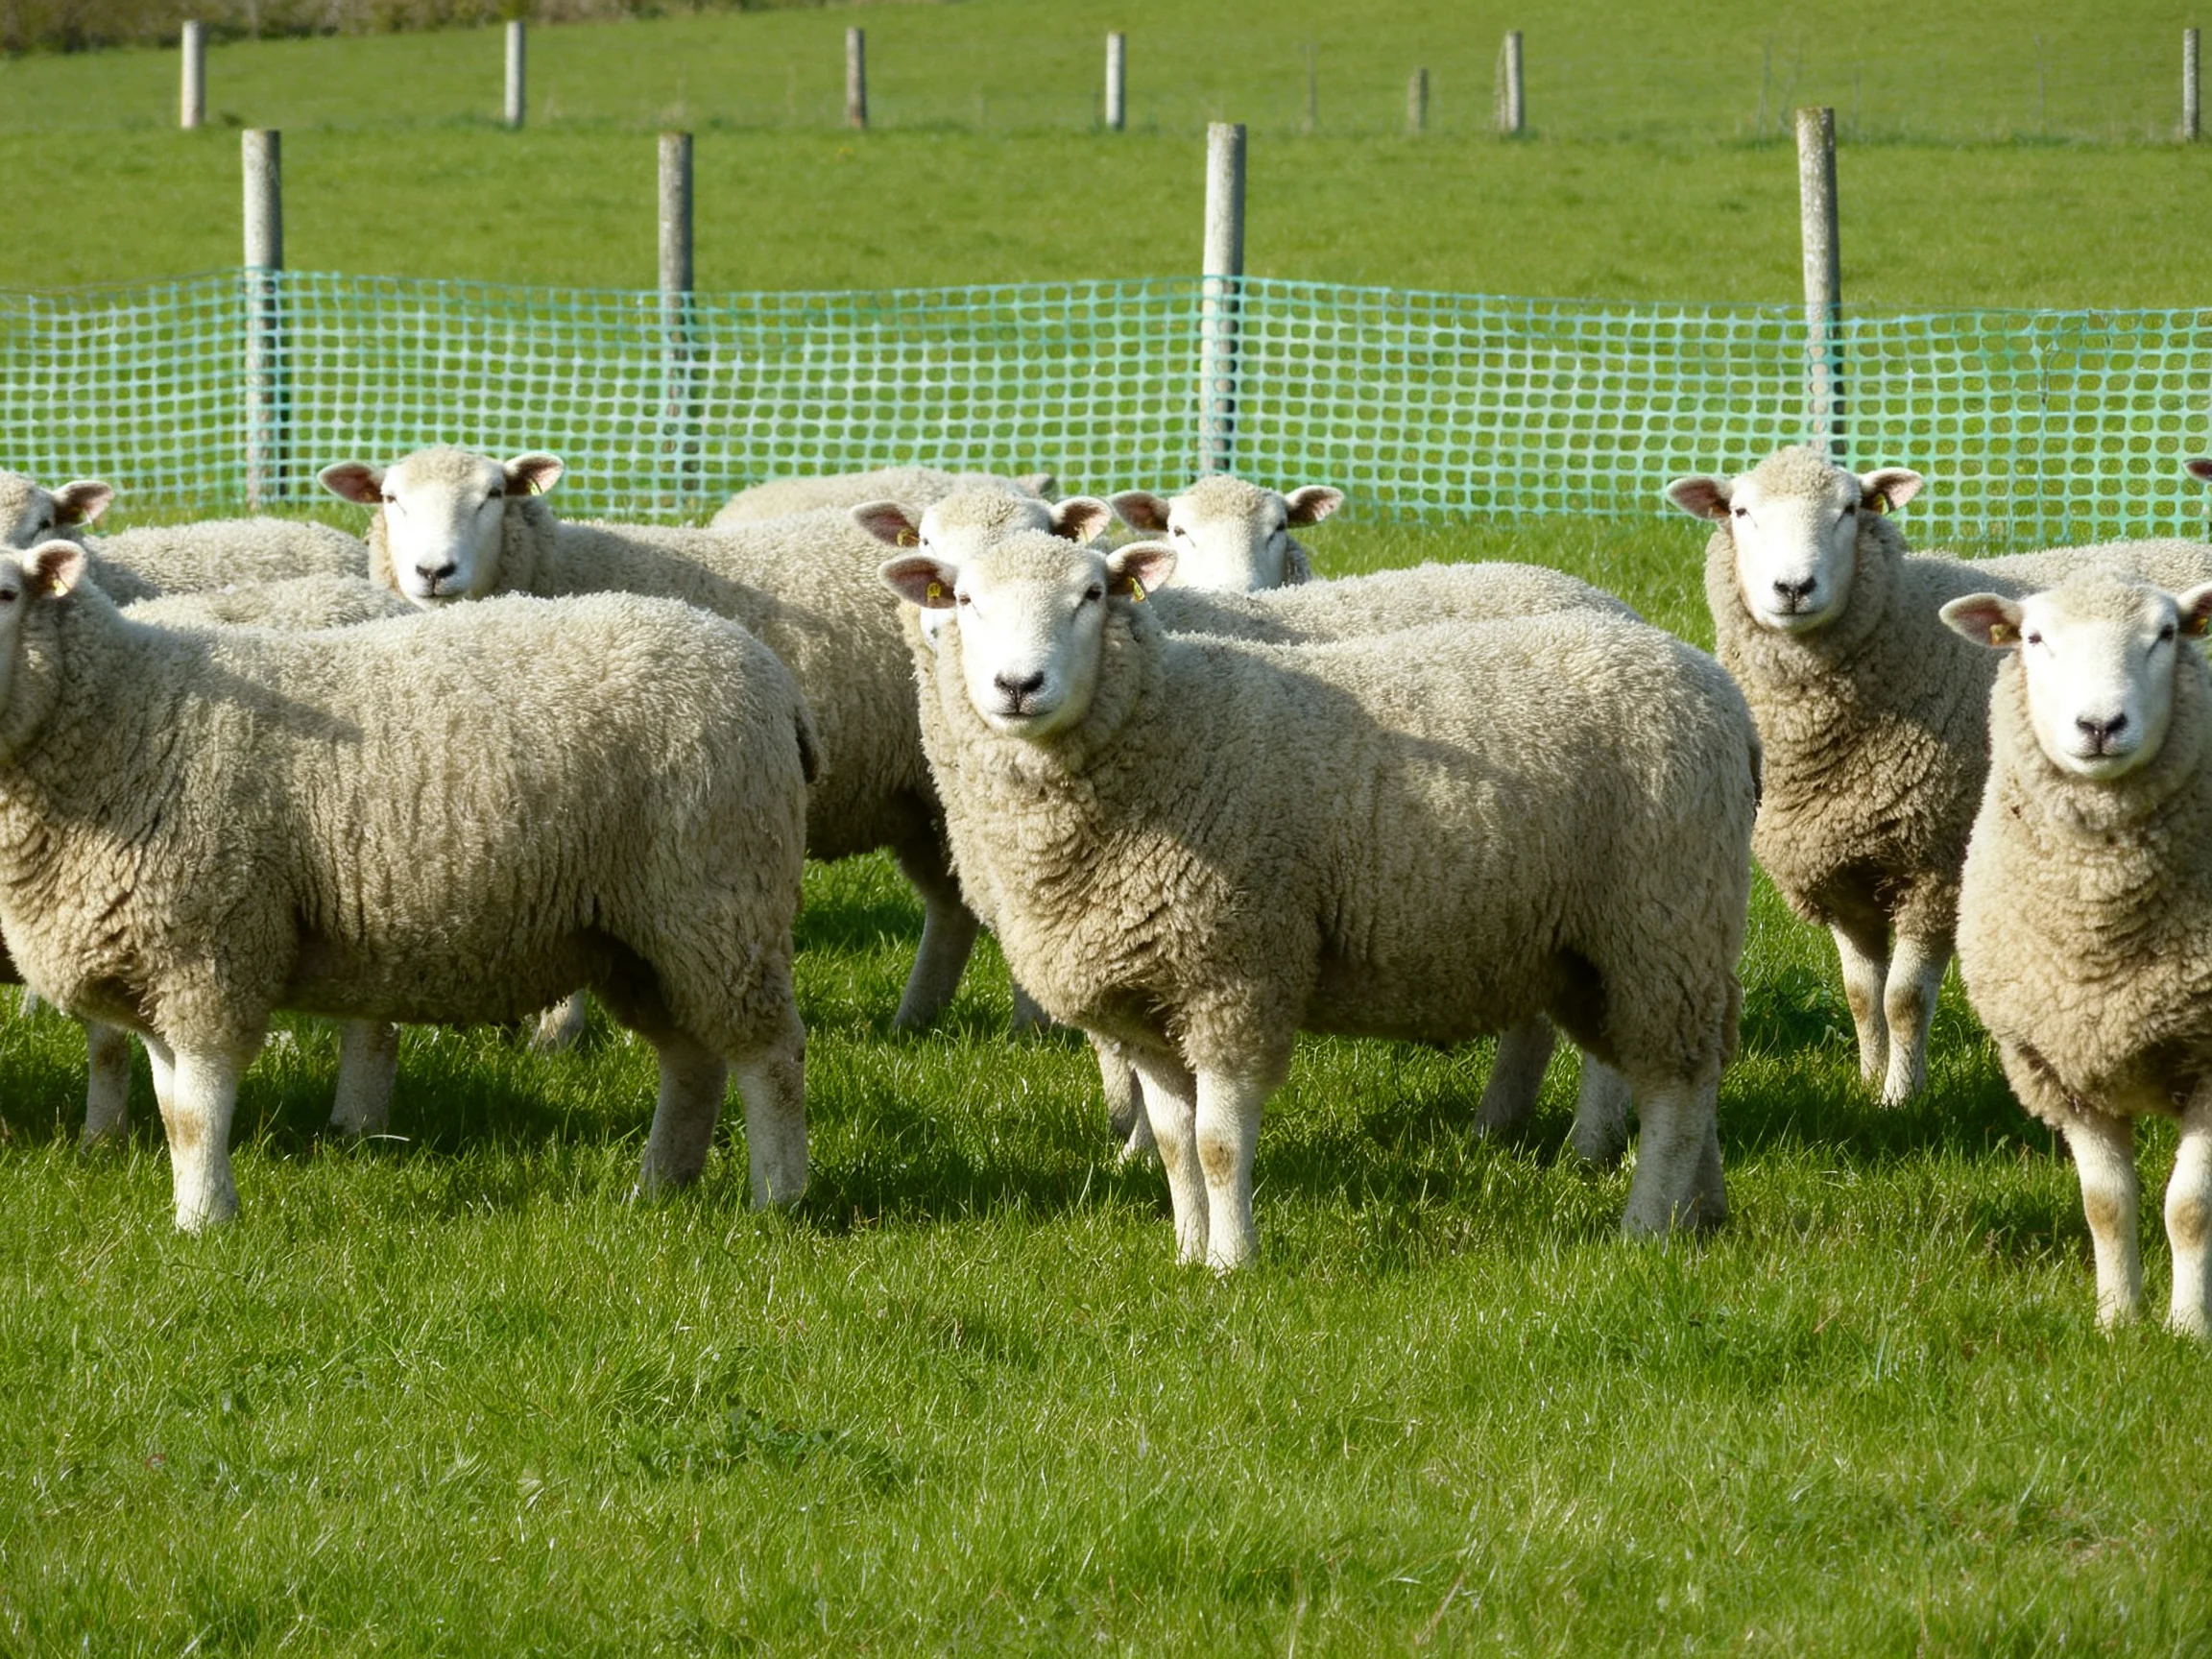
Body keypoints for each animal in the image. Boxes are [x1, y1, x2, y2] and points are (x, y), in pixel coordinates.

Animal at [0, 540, 817, 1231]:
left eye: (7, 592)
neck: (126, 716)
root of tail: (769, 673)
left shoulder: (210, 951)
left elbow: (199, 1111)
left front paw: (207, 1224)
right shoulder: (161, 961)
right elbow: (174, 1112)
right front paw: (191, 1216)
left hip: (719, 894)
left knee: (769, 1056)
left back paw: (778, 1200)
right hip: (641, 934)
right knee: (692, 1058)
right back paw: (660, 1186)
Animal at [320, 446, 975, 1031]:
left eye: (493, 495)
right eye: (390, 498)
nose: (434, 572)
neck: (555, 566)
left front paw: (559, 1034)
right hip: (924, 793)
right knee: (952, 903)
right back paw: (915, 1021)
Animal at [881, 532, 1757, 1268]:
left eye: (1093, 594)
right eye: (964, 599)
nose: (1018, 685)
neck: (1166, 730)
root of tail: (1712, 683)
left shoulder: (1236, 971)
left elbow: (1218, 1143)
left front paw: (1232, 1264)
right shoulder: (1149, 997)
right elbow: (1172, 1141)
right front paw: (1186, 1254)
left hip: (1660, 918)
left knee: (1673, 1088)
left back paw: (1642, 1229)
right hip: (1601, 947)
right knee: (1693, 1071)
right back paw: (1701, 1212)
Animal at [1667, 445, 2212, 1106]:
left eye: (1849, 509)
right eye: (1741, 512)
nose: (1794, 587)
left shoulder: (1936, 865)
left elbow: (1902, 999)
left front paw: (1900, 1096)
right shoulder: (1841, 870)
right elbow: (1860, 993)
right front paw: (1868, 1080)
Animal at [1943, 573, 2212, 1336]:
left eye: (2166, 634)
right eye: (2035, 638)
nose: (2099, 726)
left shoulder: (2211, 1062)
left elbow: (2190, 1208)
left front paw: (2188, 1328)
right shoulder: (2059, 1065)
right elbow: (2106, 1206)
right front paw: (2118, 1322)